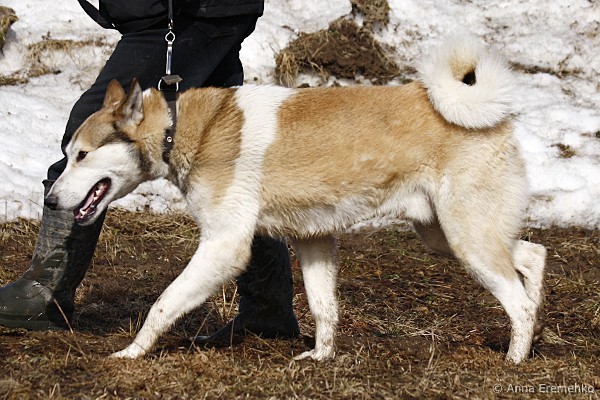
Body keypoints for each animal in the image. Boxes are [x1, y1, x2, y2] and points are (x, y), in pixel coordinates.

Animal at [45, 35, 546, 363]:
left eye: (82, 155)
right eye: (68, 154)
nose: (50, 201)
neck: (179, 130)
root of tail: (494, 117)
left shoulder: (224, 246)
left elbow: (163, 304)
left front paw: (130, 353)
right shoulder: (313, 240)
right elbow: (325, 308)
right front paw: (320, 359)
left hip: (465, 240)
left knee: (518, 300)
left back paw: (515, 360)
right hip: (444, 235)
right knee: (533, 255)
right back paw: (535, 324)